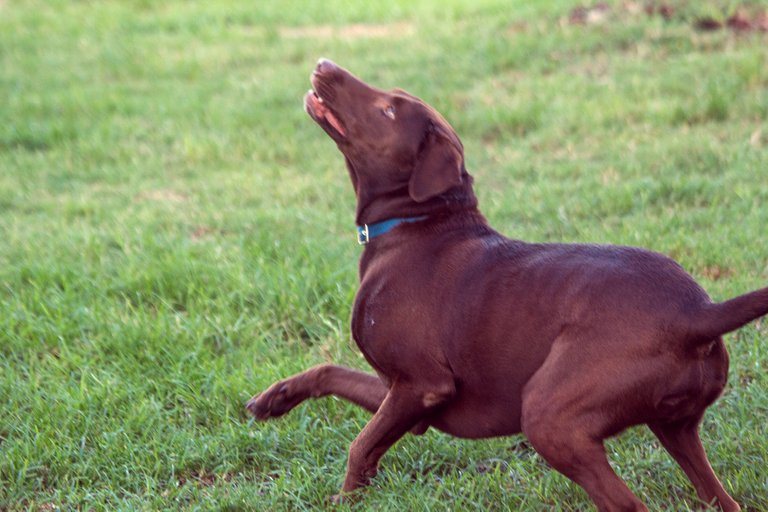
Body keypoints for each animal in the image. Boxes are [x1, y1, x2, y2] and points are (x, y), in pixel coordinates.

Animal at [248, 59, 768, 508]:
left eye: (389, 109)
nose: (324, 63)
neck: (418, 221)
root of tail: (698, 313)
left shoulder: (421, 385)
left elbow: (360, 445)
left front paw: (343, 499)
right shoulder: (396, 392)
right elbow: (330, 373)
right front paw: (276, 399)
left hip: (549, 416)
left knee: (627, 503)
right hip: (675, 429)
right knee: (720, 498)